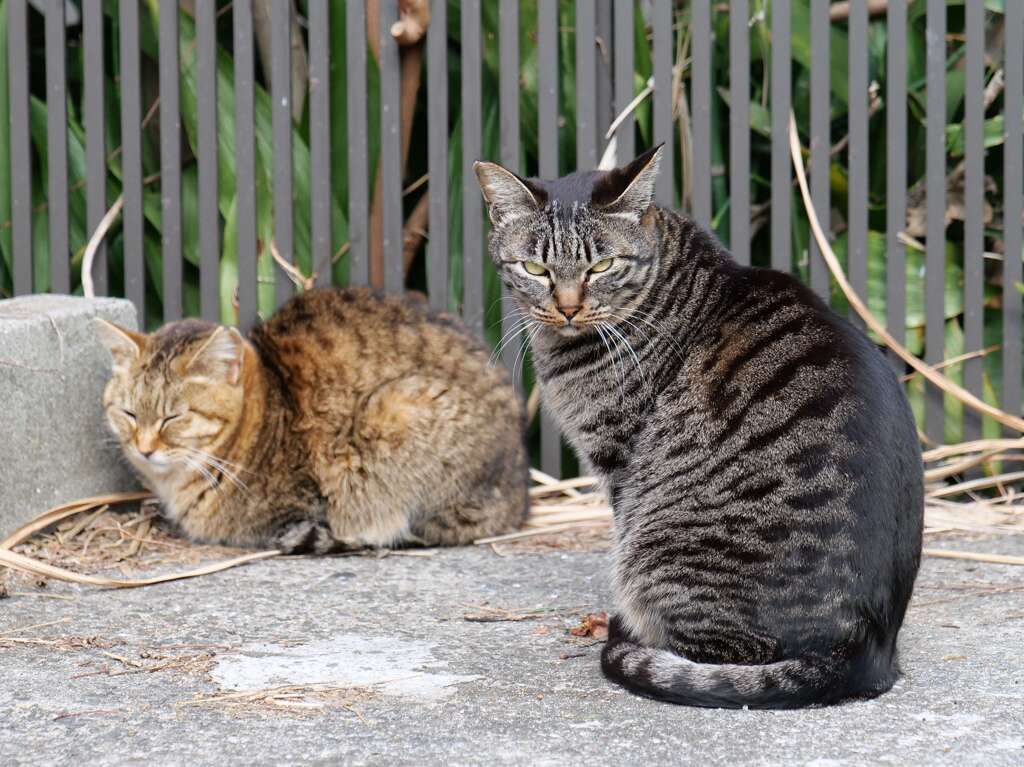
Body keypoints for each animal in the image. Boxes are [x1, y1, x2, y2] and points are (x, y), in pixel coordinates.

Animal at [475, 146, 925, 708]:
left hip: (661, 550)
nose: (569, 306)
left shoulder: (619, 461)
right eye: (535, 267)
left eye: (602, 265)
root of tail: (860, 651)